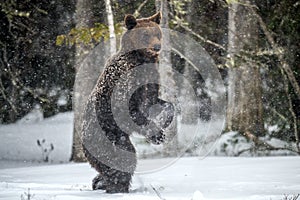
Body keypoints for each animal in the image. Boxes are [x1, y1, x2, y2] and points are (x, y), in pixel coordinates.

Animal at [81, 11, 176, 193]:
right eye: (145, 34)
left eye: (157, 33)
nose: (156, 47)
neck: (141, 59)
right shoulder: (124, 83)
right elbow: (129, 111)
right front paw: (157, 134)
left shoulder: (150, 81)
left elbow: (159, 103)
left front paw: (165, 121)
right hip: (105, 136)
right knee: (121, 158)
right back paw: (117, 186)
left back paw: (100, 182)